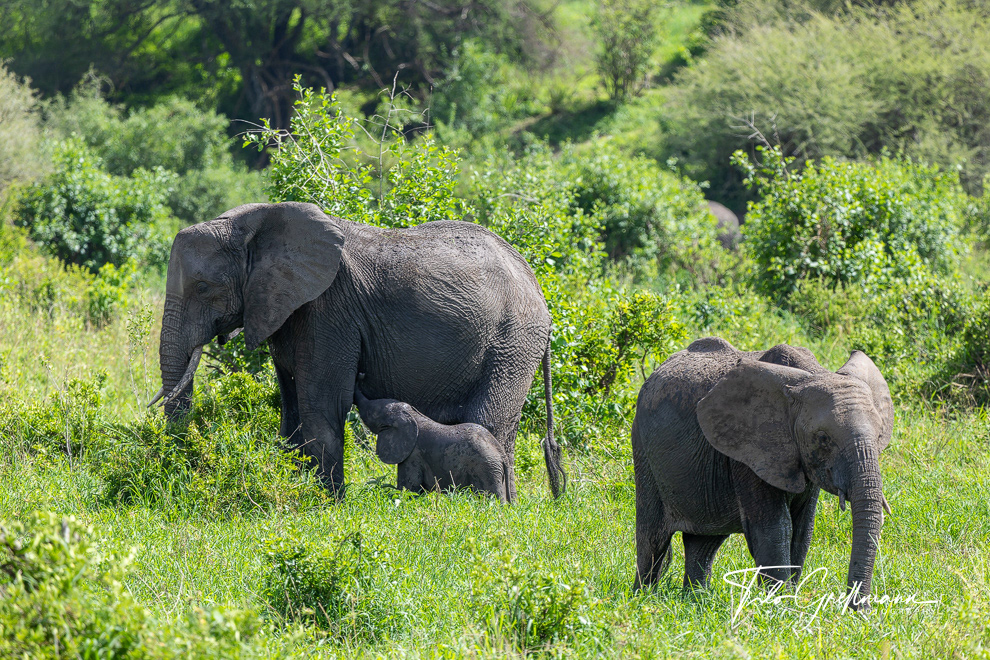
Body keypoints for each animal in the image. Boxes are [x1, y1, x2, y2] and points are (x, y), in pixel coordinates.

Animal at [354, 379, 510, 502]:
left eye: (372, 413)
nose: (360, 375)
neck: (413, 415)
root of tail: (502, 455)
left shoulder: (413, 455)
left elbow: (409, 488)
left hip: (486, 468)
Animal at [631, 337, 894, 609]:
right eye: (823, 439)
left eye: (879, 434)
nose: (859, 609)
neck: (812, 374)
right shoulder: (749, 449)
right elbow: (775, 527)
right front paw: (780, 606)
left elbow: (802, 529)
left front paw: (788, 601)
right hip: (643, 450)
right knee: (653, 538)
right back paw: (643, 600)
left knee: (704, 543)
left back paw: (695, 601)